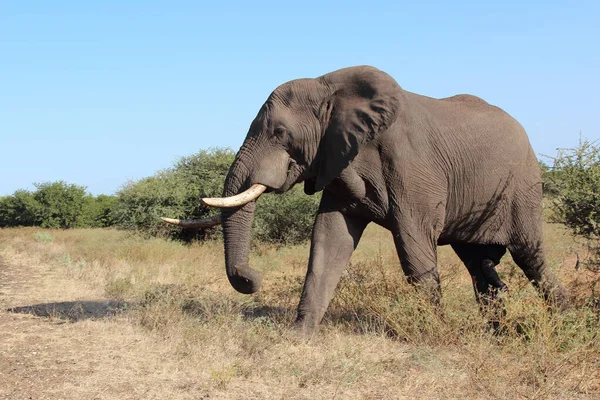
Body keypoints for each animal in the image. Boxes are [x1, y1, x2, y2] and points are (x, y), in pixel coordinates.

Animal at [163, 65, 568, 334]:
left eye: (279, 133)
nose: (252, 279)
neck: (330, 88)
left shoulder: (412, 166)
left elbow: (414, 245)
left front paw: (437, 333)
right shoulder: (337, 161)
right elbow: (328, 242)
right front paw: (298, 335)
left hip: (524, 186)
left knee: (529, 257)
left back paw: (565, 319)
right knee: (480, 265)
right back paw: (500, 333)